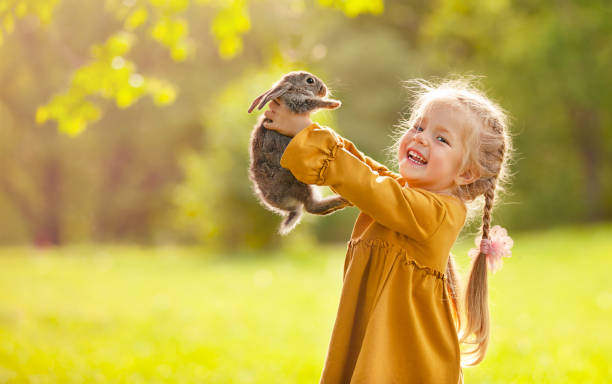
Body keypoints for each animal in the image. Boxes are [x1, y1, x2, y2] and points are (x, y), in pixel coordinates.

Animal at [247, 70, 352, 236]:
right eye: (310, 81)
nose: (324, 90)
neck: (292, 89)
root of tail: (289, 208)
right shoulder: (297, 102)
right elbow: (312, 102)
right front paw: (333, 103)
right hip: (301, 183)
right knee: (310, 206)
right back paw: (340, 201)